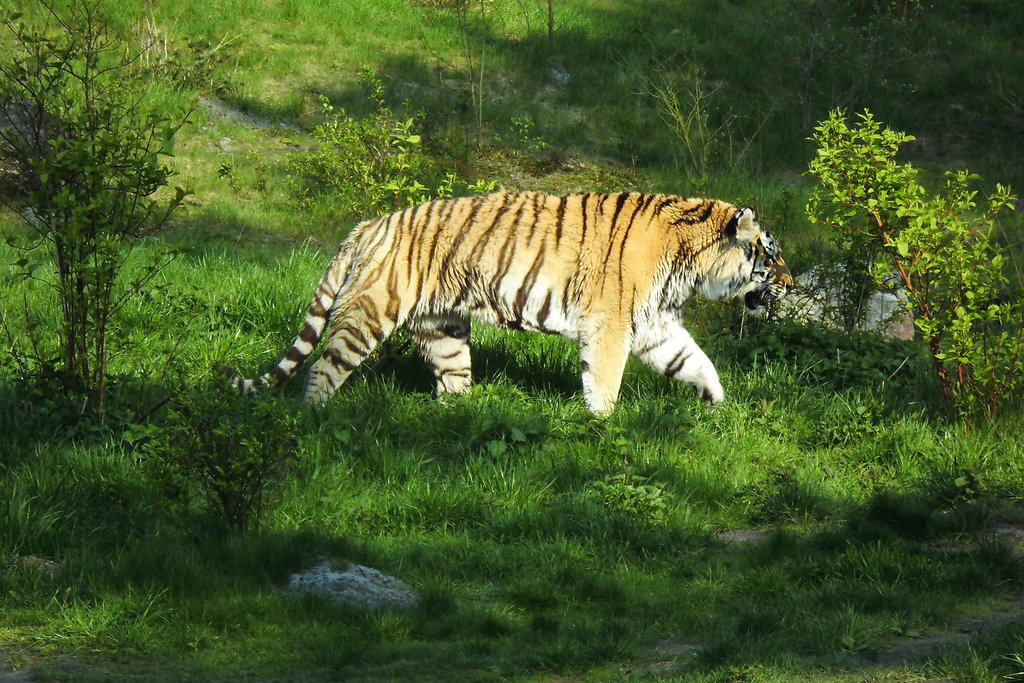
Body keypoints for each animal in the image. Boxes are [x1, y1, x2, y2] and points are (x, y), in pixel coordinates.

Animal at [228, 188, 794, 417]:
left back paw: (458, 421)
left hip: (443, 329)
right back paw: (314, 420)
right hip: (367, 315)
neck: (690, 264)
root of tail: (369, 225)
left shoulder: (654, 325)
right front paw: (602, 426)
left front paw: (718, 404)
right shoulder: (610, 324)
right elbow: (604, 381)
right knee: (321, 370)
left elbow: (695, 361)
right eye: (772, 254)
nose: (791, 285)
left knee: (452, 383)